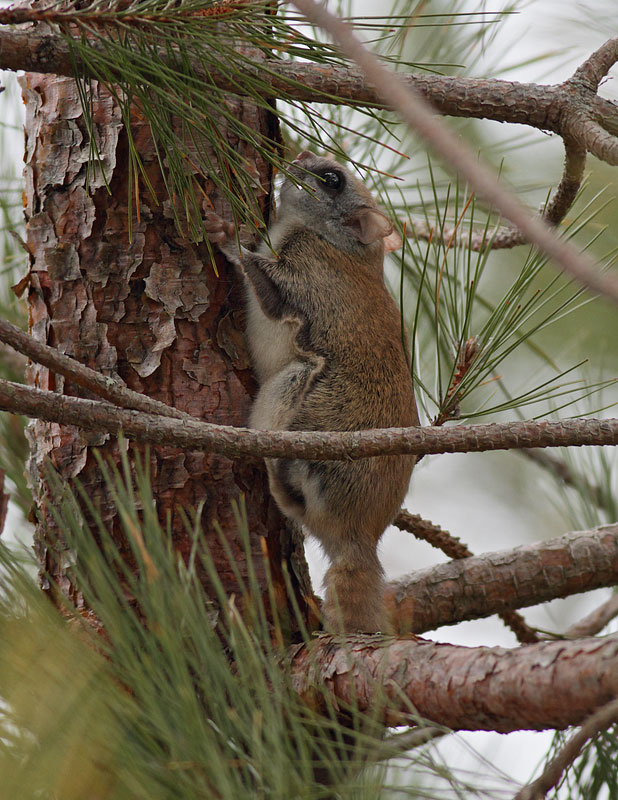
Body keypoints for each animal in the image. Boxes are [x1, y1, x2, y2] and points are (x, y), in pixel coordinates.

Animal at [205, 151, 418, 633]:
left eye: (332, 180)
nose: (298, 154)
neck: (341, 245)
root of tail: (358, 535)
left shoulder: (304, 275)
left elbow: (262, 281)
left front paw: (227, 235)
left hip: (297, 397)